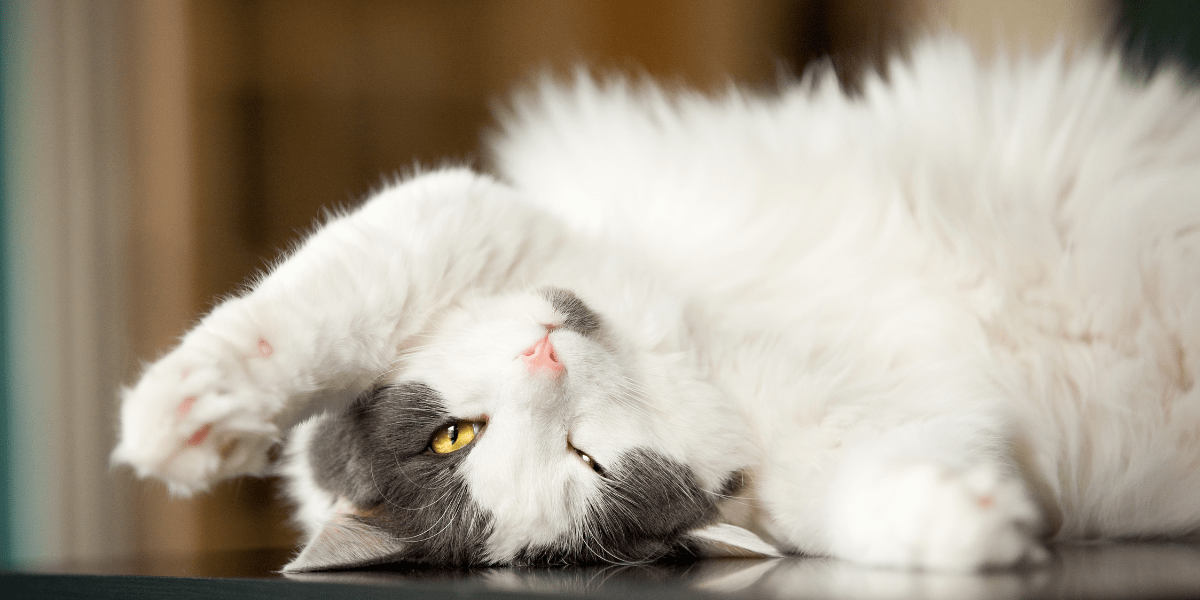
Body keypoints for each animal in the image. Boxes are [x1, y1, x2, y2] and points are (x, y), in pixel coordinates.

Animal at [112, 37, 1200, 571]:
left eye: (452, 436)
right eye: (587, 462)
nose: (544, 358)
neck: (699, 358)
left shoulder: (485, 218)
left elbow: (317, 299)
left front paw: (182, 416)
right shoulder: (884, 442)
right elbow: (880, 505)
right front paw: (977, 533)